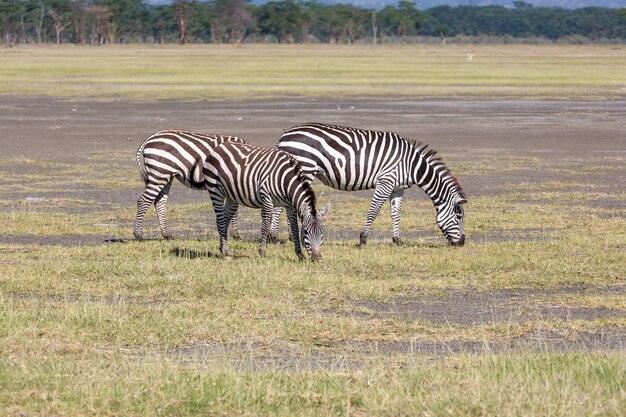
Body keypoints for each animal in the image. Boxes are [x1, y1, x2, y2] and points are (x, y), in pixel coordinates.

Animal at [272, 123, 464, 247]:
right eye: (459, 216)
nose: (461, 243)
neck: (411, 165)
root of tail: (284, 135)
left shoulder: (397, 188)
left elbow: (396, 213)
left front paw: (398, 240)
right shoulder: (386, 181)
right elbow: (374, 210)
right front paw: (363, 239)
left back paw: (291, 236)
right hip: (305, 168)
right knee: (281, 205)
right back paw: (274, 237)